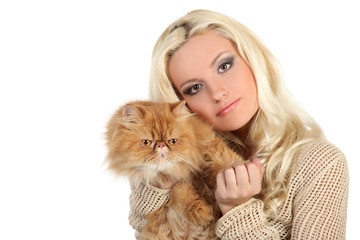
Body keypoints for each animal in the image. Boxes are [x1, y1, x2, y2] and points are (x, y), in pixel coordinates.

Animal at [105, 100, 245, 239]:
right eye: (146, 143)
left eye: (172, 141)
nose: (161, 145)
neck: (173, 171)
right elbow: (180, 191)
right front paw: (201, 213)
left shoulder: (209, 145)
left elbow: (223, 159)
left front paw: (242, 169)